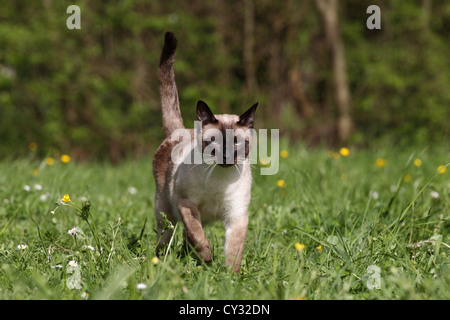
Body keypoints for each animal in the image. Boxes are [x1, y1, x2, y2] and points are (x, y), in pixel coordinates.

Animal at [153, 32, 256, 272]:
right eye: (214, 142)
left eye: (236, 143)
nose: (226, 156)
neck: (219, 179)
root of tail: (179, 130)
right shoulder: (186, 203)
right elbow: (198, 236)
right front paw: (208, 259)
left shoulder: (236, 217)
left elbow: (233, 254)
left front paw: (228, 277)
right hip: (166, 213)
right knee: (171, 238)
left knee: (186, 237)